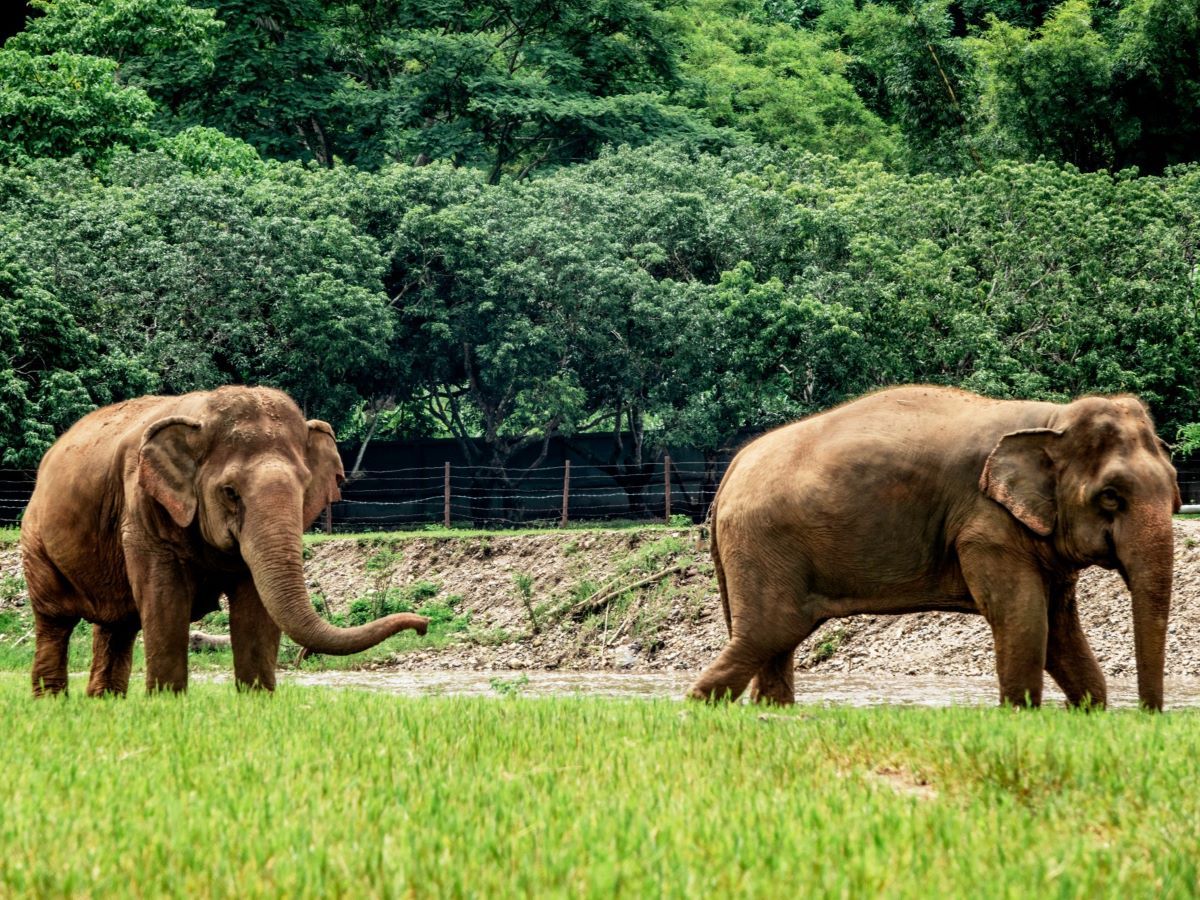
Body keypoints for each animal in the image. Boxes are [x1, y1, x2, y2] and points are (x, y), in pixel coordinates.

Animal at [21, 388, 429, 696]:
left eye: (304, 487)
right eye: (230, 492)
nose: (423, 624)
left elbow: (255, 607)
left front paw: (257, 701)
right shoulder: (142, 510)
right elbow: (165, 601)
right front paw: (167, 705)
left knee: (116, 625)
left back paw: (104, 702)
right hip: (35, 541)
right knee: (56, 621)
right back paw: (53, 703)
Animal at [691, 388, 1176, 710]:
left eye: (1174, 490)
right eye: (1110, 497)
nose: (1148, 717)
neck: (1053, 418)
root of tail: (732, 468)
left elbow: (1058, 627)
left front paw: (1090, 709)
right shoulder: (985, 525)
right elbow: (1024, 617)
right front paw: (1021, 714)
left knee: (776, 641)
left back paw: (771, 710)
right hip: (764, 544)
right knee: (768, 632)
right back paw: (697, 707)